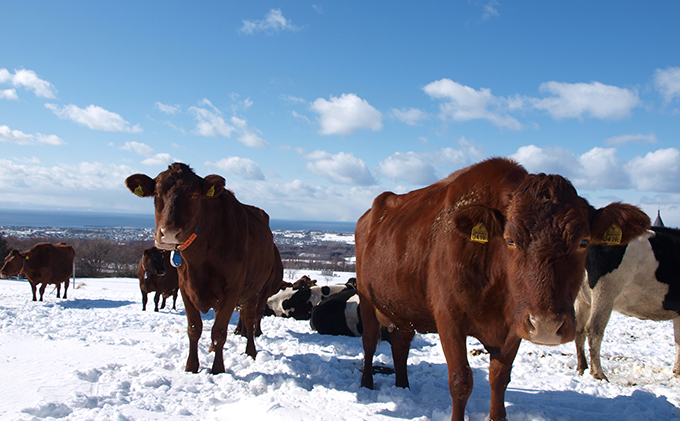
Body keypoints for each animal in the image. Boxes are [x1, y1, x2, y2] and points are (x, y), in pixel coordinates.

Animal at [126, 162, 282, 372]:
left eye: (194, 195)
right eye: (157, 194)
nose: (169, 233)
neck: (200, 259)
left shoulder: (232, 291)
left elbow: (220, 331)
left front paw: (218, 369)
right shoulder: (185, 288)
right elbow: (194, 328)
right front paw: (191, 366)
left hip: (256, 290)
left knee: (250, 318)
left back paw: (251, 352)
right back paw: (211, 348)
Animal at [356, 158, 648, 420]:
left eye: (584, 242)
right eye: (510, 240)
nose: (546, 326)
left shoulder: (515, 325)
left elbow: (499, 378)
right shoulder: (449, 319)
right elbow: (460, 380)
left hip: (402, 307)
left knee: (401, 343)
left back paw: (403, 385)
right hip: (367, 299)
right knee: (369, 341)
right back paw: (367, 384)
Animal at [576, 226, 680, 380]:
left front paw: (677, 371)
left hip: (583, 298)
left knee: (579, 330)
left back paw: (582, 368)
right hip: (605, 290)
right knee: (594, 328)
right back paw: (599, 374)